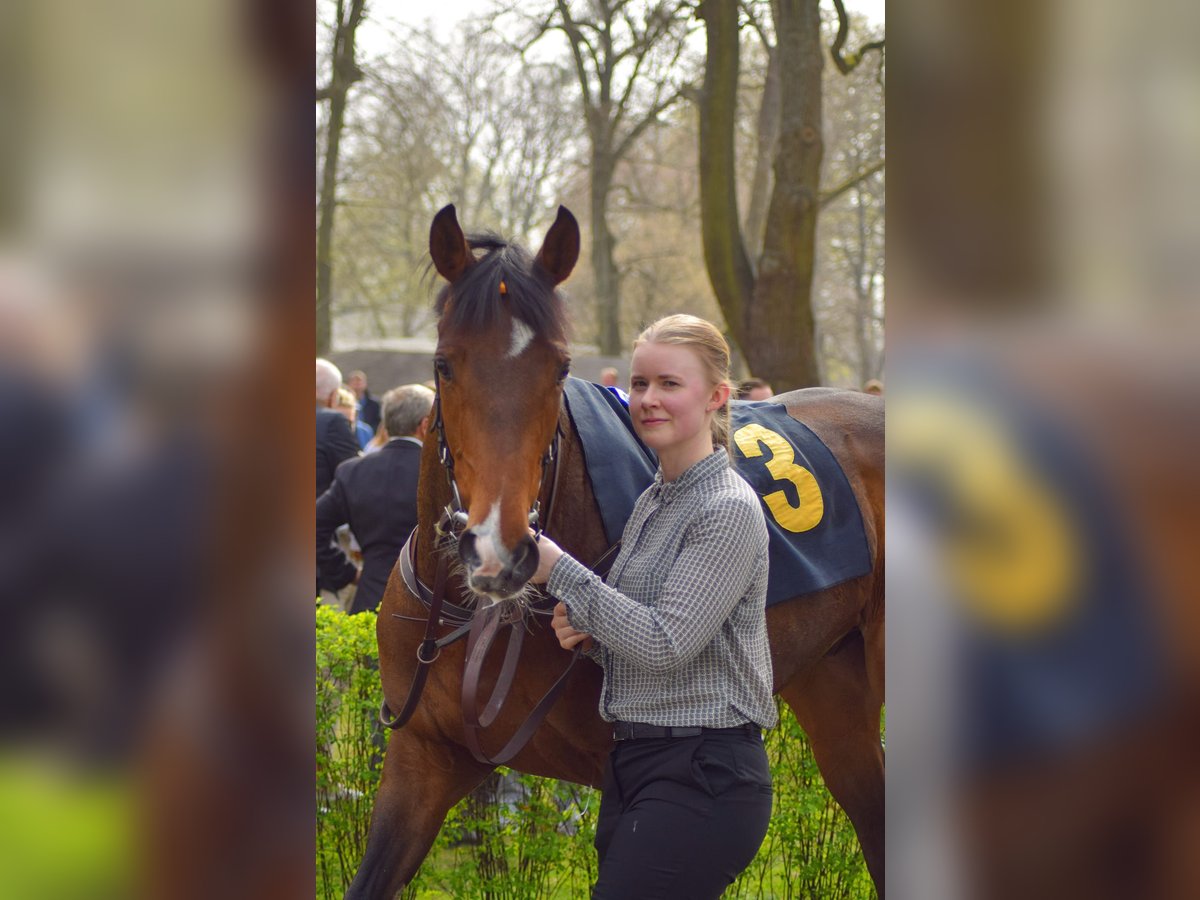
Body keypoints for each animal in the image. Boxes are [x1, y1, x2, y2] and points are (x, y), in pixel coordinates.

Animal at [343, 206, 888, 900]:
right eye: (443, 363)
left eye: (558, 367)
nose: (498, 551)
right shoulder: (422, 757)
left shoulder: (621, 772)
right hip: (833, 683)